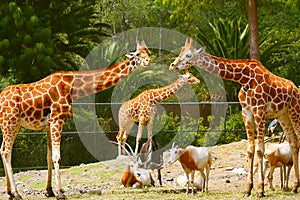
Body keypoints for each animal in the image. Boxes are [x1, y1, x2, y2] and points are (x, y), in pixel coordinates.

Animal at [0, 39, 150, 199]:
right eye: (138, 54)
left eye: (148, 52)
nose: (148, 61)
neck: (72, 86)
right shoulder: (57, 120)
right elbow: (57, 157)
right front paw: (60, 193)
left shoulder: (48, 124)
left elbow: (49, 157)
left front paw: (49, 191)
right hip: (10, 123)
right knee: (6, 152)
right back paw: (16, 193)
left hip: (12, 125)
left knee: (2, 149)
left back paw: (10, 192)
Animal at [169, 37, 300, 197]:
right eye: (180, 52)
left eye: (188, 55)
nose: (173, 65)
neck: (244, 79)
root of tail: (296, 89)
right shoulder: (246, 112)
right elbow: (250, 149)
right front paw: (248, 189)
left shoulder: (259, 111)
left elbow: (260, 150)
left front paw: (260, 190)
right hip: (283, 115)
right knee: (293, 142)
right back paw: (295, 187)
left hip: (295, 111)